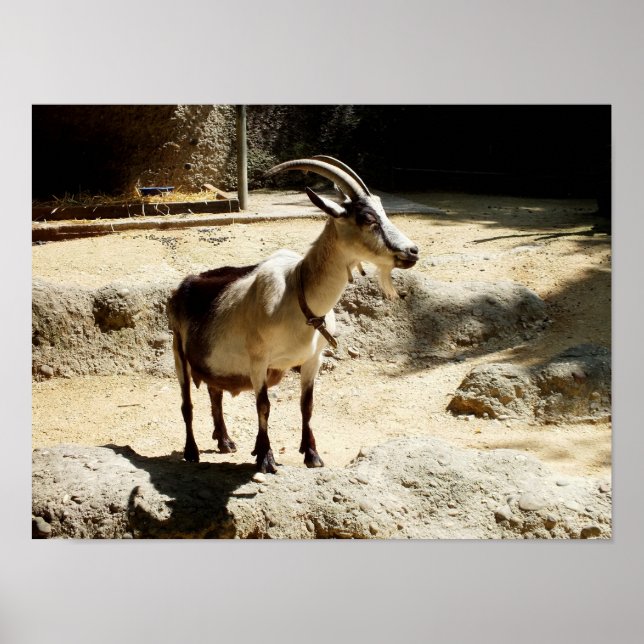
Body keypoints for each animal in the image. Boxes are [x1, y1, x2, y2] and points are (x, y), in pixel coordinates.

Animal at [167, 157, 420, 473]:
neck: (299, 298)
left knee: (215, 393)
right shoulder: (258, 361)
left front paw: (312, 454)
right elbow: (263, 405)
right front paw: (265, 457)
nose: (412, 251)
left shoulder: (313, 359)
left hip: (214, 363)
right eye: (368, 218)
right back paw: (191, 451)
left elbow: (306, 405)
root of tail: (183, 286)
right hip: (178, 351)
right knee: (186, 403)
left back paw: (225, 441)